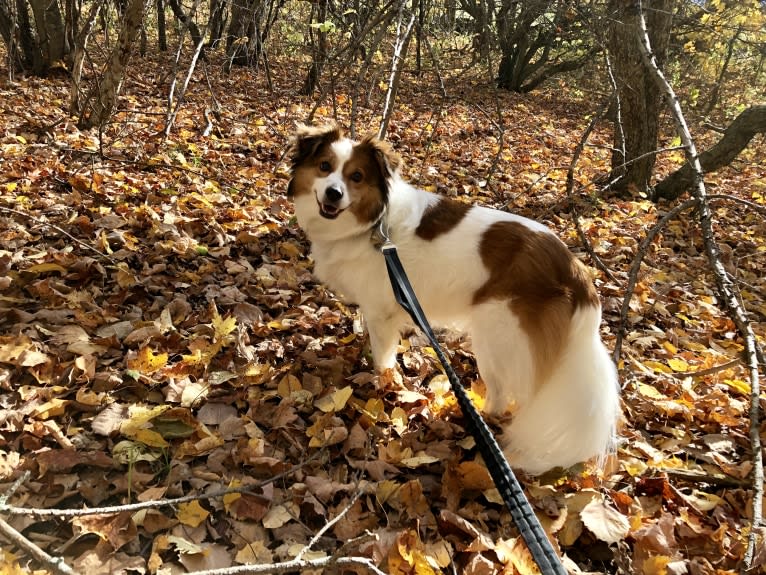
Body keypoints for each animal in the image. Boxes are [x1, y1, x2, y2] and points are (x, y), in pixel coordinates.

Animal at [284, 125, 620, 476]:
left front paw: (381, 385)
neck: (374, 225)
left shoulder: (381, 313)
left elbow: (382, 358)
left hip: (501, 338)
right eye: (324, 166)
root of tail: (575, 271)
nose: (334, 193)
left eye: (357, 177)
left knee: (519, 397)